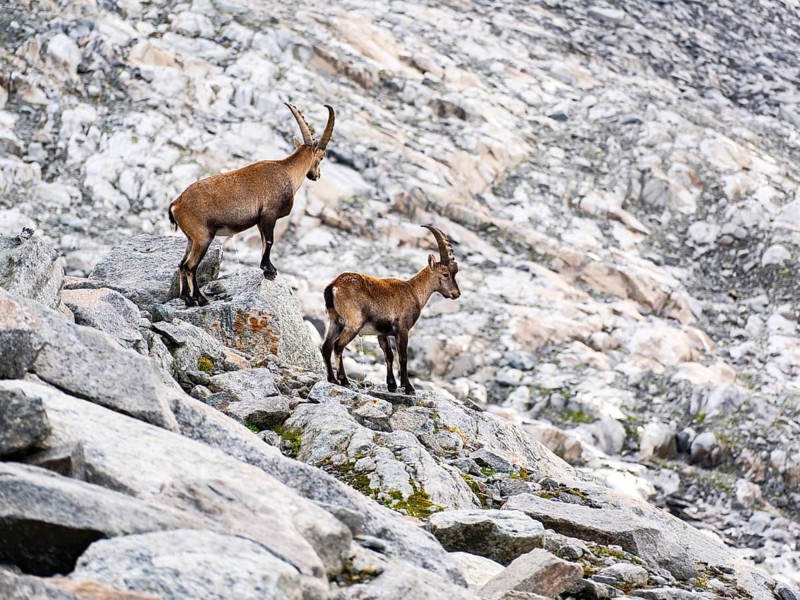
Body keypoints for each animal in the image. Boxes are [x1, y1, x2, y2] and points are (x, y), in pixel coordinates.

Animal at [168, 103, 335, 306]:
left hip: (191, 238)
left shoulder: (260, 220)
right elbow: (269, 241)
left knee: (181, 264)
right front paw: (269, 271)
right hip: (203, 237)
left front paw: (270, 269)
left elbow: (263, 242)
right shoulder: (269, 214)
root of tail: (176, 204)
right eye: (322, 157)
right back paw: (200, 298)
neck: (287, 172)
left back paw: (187, 298)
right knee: (190, 266)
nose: (316, 176)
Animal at [321, 225, 461, 395]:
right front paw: (409, 388)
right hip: (354, 322)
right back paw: (344, 380)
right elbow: (403, 357)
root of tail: (334, 286)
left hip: (335, 321)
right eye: (446, 274)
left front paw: (392, 385)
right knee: (338, 345)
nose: (456, 293)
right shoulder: (402, 329)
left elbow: (388, 355)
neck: (413, 291)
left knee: (326, 347)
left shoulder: (383, 333)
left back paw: (332, 379)